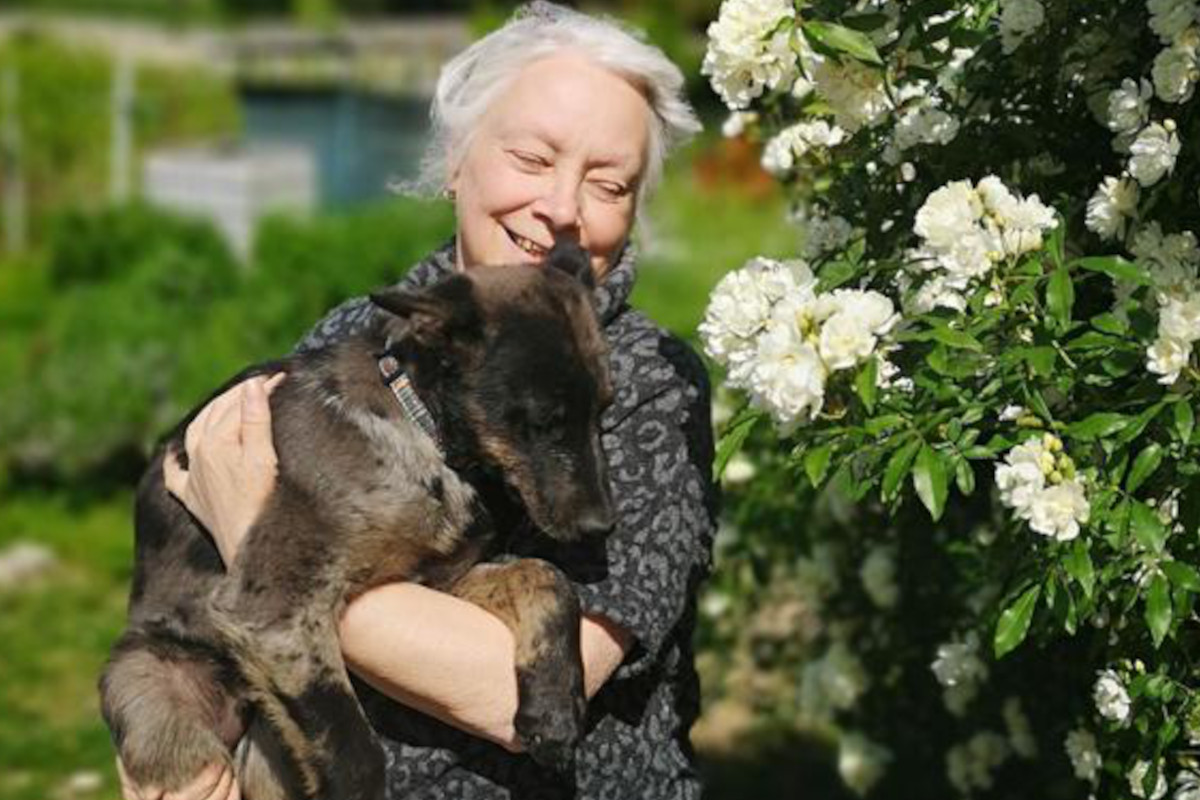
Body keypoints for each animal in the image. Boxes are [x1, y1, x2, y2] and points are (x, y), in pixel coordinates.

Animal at [98, 242, 614, 800]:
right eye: (544, 421)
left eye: (603, 412)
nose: (603, 528)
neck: (422, 431)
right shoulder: (276, 609)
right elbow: (356, 753)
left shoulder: (434, 580)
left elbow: (545, 577)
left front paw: (554, 709)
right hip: (161, 701)